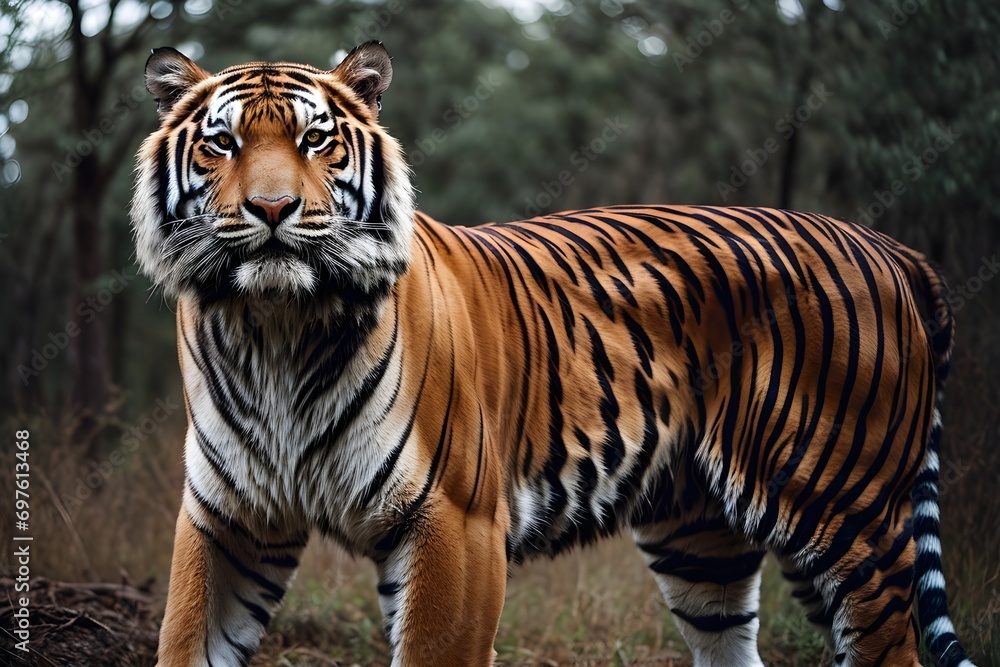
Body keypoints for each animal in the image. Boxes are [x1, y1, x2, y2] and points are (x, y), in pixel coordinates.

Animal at [130, 41, 976, 667]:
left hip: (848, 509)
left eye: (316, 139)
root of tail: (891, 248)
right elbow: (185, 639)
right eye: (222, 142)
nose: (272, 208)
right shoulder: (227, 517)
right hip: (702, 537)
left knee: (891, 640)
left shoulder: (455, 520)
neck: (275, 322)